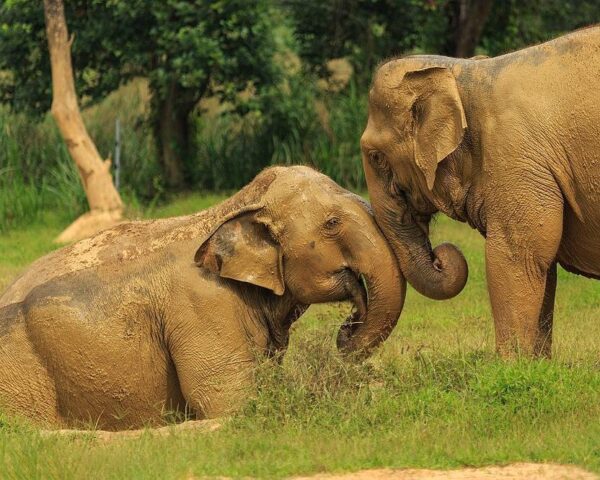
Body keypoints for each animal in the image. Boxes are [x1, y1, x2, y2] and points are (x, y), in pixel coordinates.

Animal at [358, 26, 600, 356]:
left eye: (376, 157)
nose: (440, 256)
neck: (463, 74)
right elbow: (542, 264)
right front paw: (535, 363)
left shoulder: (515, 158)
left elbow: (517, 255)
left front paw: (510, 364)